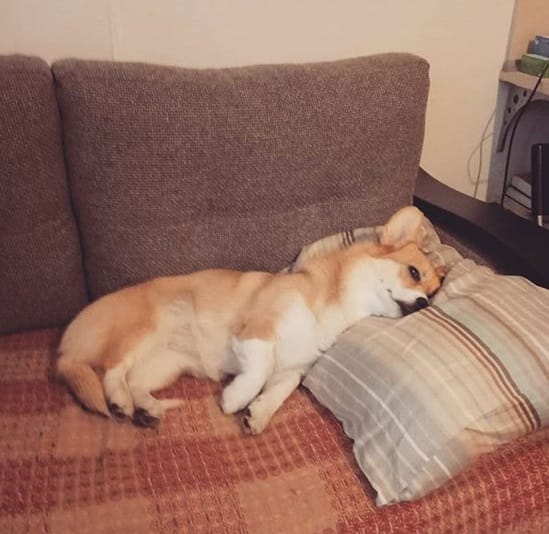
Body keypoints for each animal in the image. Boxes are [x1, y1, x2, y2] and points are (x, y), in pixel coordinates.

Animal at [57, 206, 444, 434]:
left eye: (432, 292)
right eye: (414, 272)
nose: (423, 304)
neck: (334, 308)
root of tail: (63, 351)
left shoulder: (296, 367)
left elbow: (281, 389)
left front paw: (258, 414)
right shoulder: (258, 329)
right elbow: (260, 369)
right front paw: (236, 399)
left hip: (166, 365)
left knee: (135, 381)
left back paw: (147, 409)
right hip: (145, 331)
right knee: (112, 369)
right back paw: (119, 401)